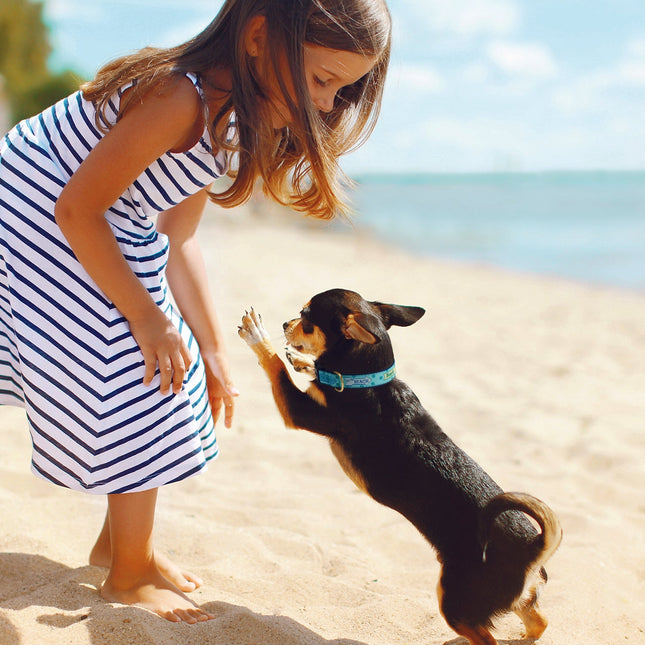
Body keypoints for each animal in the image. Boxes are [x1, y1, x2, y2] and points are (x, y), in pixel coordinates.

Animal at [236, 288, 560, 644]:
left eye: (306, 319)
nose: (285, 323)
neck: (366, 381)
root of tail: (534, 548)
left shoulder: (298, 412)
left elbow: (276, 367)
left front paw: (259, 336)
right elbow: (307, 373)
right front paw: (302, 362)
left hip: (455, 600)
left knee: (485, 635)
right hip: (514, 600)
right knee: (538, 622)